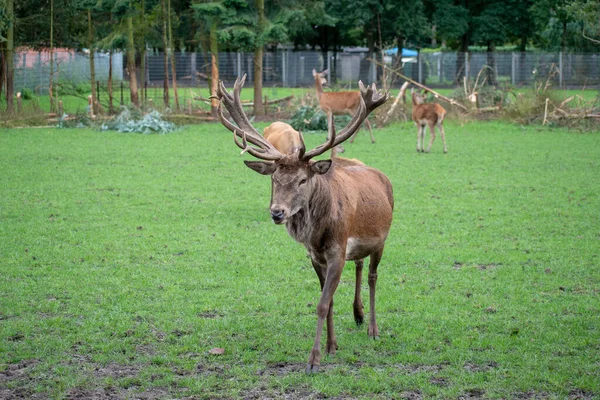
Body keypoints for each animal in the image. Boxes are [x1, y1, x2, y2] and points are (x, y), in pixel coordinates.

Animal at [217, 76, 394, 376]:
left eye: (302, 179)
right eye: (274, 178)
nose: (277, 212)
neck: (318, 235)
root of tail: (381, 176)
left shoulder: (337, 251)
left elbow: (322, 304)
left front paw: (313, 360)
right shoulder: (314, 256)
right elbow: (329, 300)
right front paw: (332, 346)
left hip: (382, 240)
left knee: (372, 276)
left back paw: (372, 328)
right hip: (359, 246)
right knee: (359, 265)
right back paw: (357, 315)